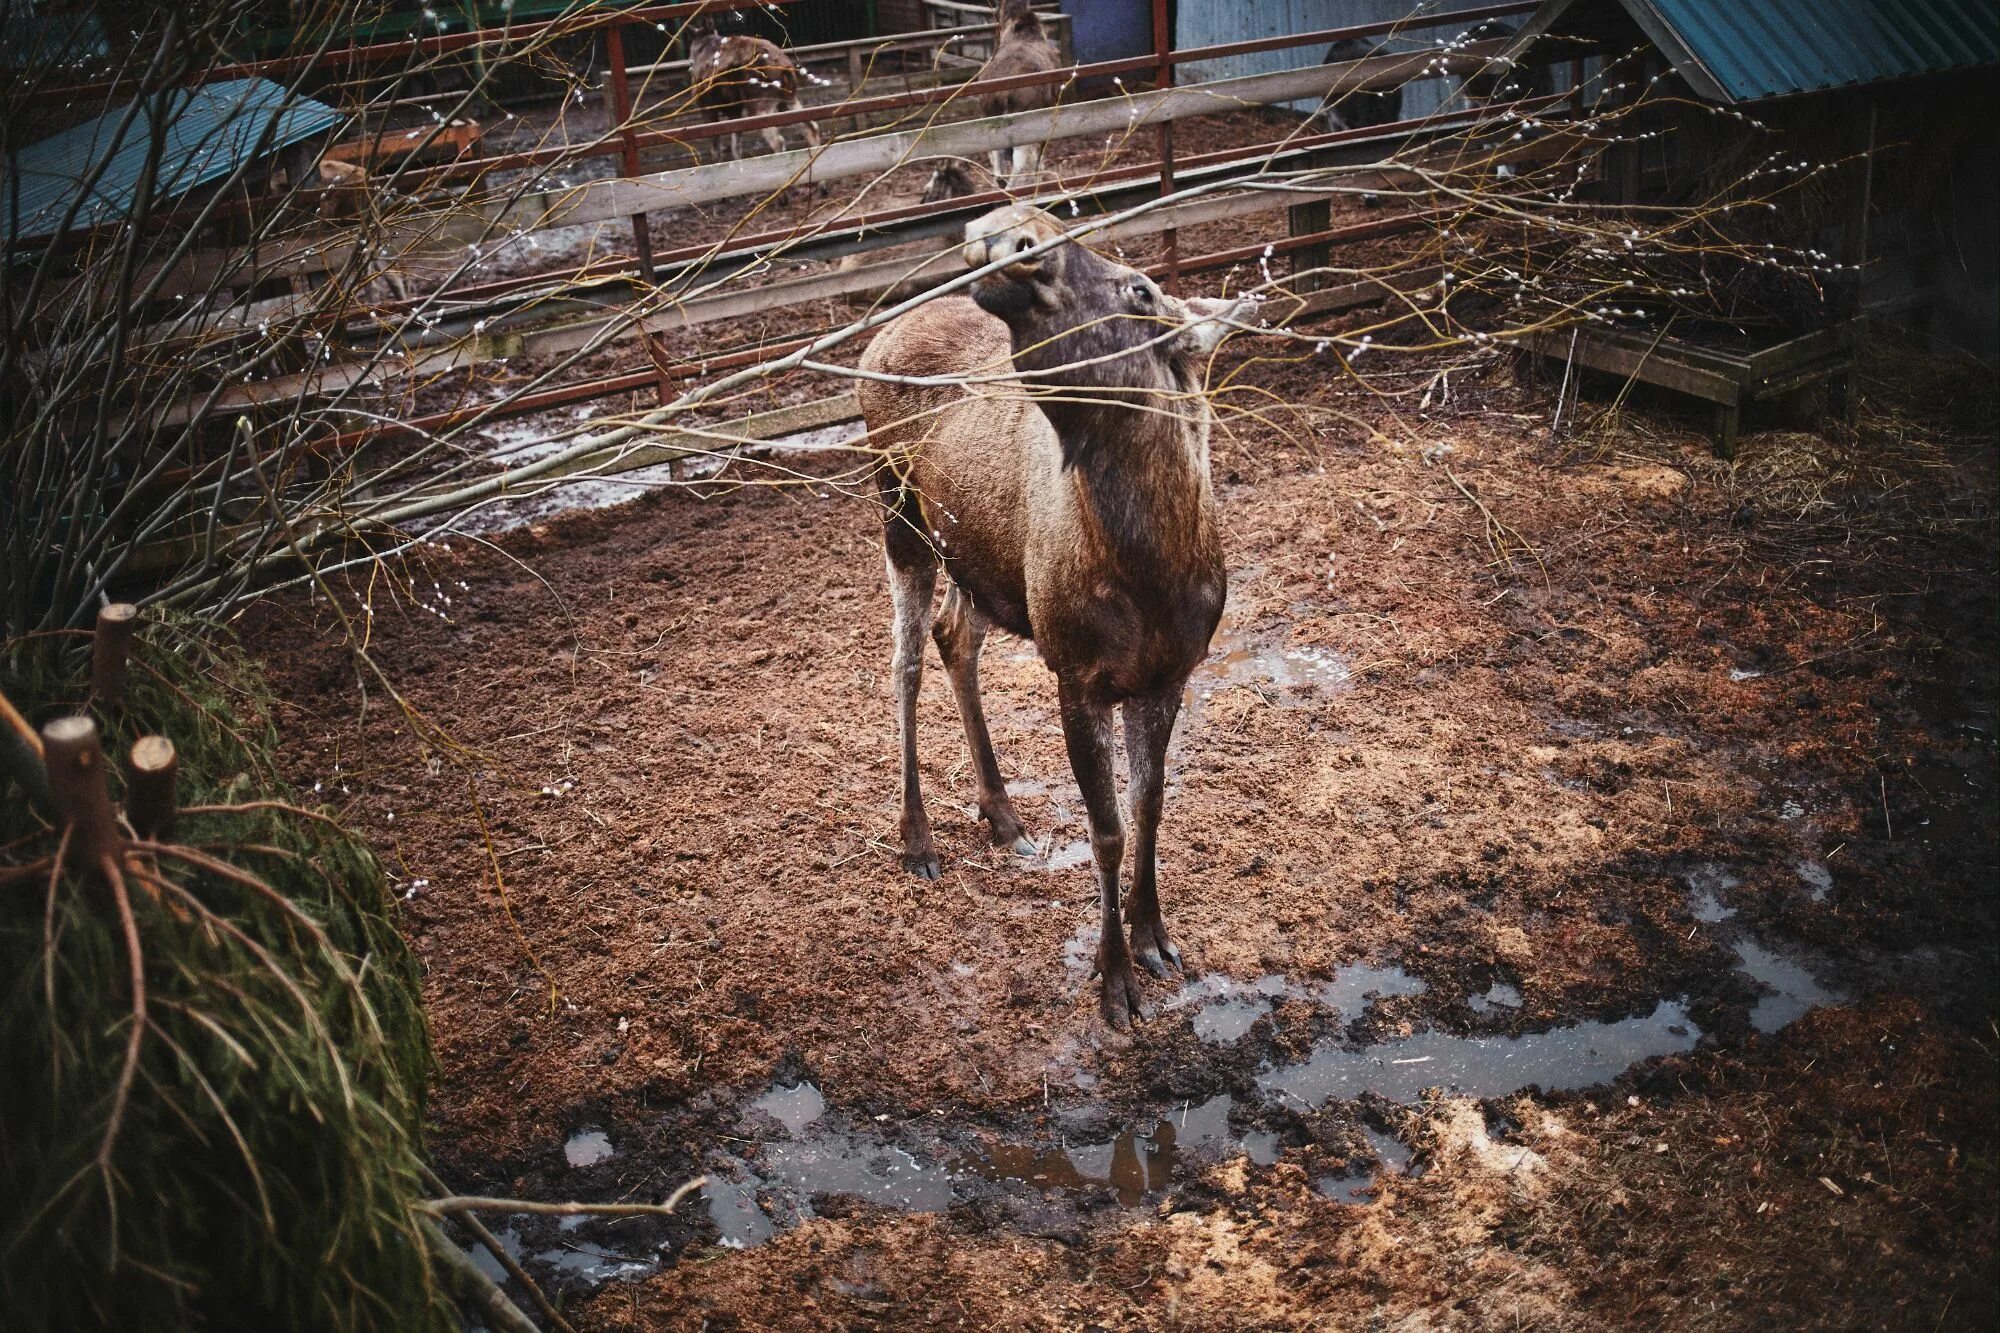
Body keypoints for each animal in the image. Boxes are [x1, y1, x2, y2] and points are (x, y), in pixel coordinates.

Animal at [856, 205, 1248, 1024]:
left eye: (1141, 287)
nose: (1010, 226)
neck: (1152, 574)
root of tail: (882, 335)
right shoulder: (1076, 673)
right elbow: (1107, 830)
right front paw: (1115, 978)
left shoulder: (1172, 673)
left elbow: (1150, 804)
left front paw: (1156, 936)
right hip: (897, 511)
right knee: (904, 662)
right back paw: (917, 839)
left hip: (980, 561)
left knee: (953, 638)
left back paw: (1003, 816)